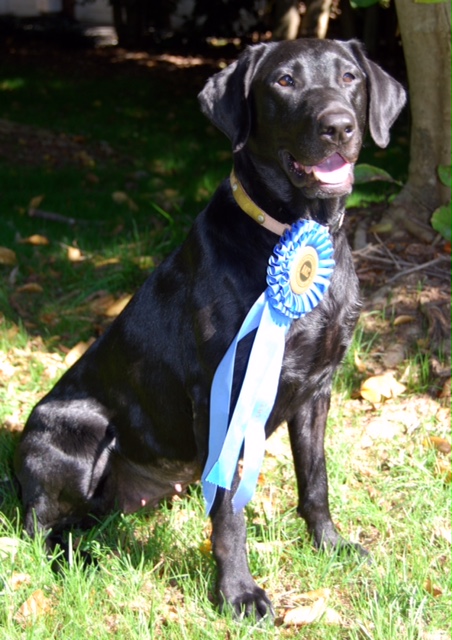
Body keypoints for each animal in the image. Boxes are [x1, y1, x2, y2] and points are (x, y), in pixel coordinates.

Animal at [14, 37, 404, 616]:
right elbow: (228, 512)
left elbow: (316, 480)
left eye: (350, 77)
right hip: (80, 430)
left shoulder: (317, 388)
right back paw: (77, 560)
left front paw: (330, 545)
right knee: (39, 528)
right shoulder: (222, 394)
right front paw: (238, 592)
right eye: (284, 81)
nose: (338, 125)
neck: (292, 231)